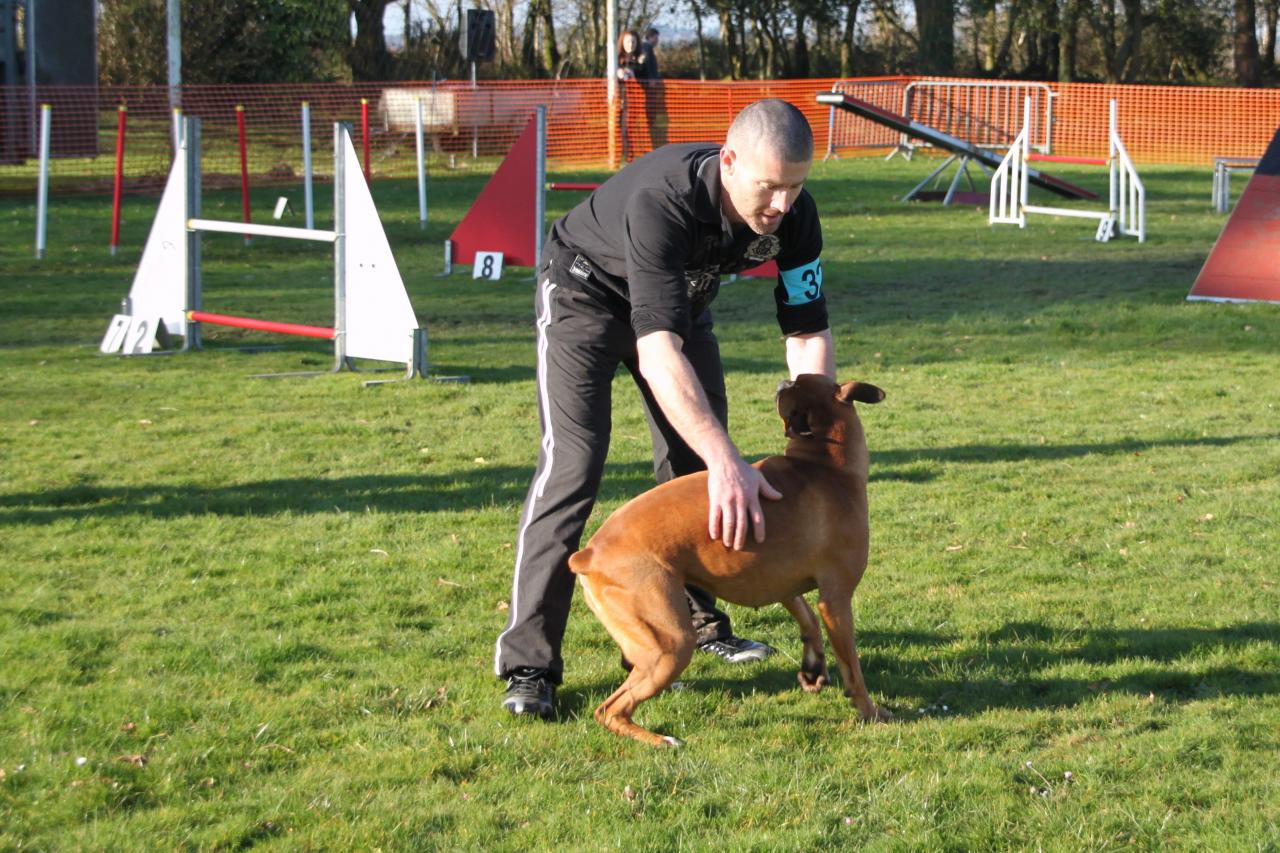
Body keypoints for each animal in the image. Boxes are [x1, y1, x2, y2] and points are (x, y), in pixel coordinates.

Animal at [568, 373, 890, 747]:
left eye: (798, 381)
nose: (783, 380)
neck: (822, 463)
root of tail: (588, 553)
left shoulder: (780, 582)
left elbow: (807, 617)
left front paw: (813, 668)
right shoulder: (836, 600)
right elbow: (852, 666)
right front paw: (870, 710)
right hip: (672, 643)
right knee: (611, 709)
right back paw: (661, 741)